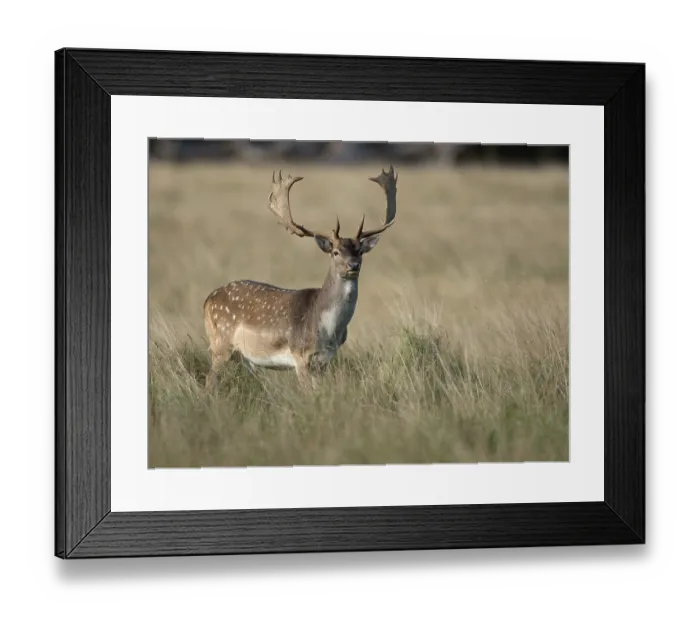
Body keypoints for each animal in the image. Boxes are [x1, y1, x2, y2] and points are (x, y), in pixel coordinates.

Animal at [203, 165, 398, 390]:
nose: (353, 266)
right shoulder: (300, 356)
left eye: (360, 251)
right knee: (209, 378)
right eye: (335, 252)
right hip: (221, 342)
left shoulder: (325, 361)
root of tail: (207, 300)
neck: (328, 330)